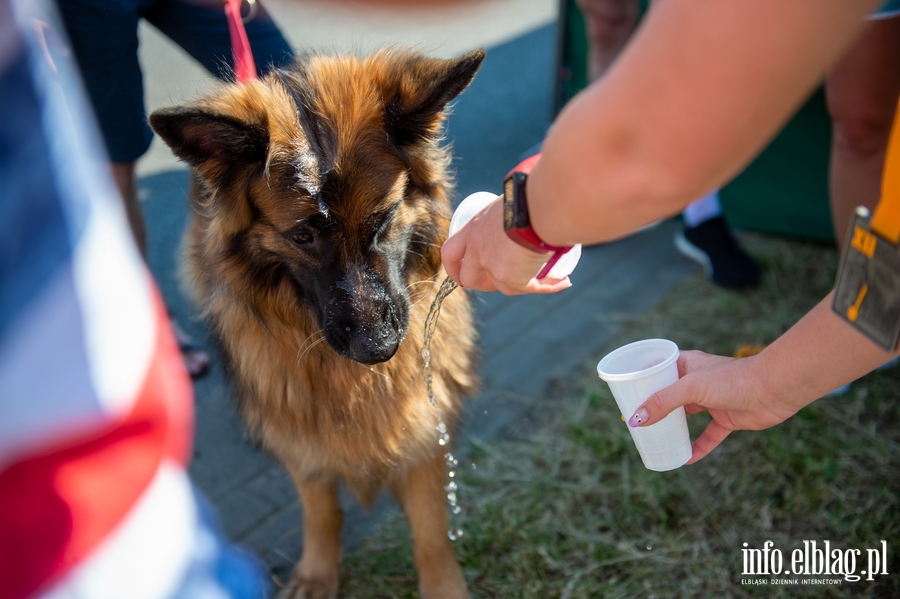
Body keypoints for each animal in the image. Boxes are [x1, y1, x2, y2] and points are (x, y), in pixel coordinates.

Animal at [149, 49, 486, 596]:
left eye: (384, 218)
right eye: (302, 236)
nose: (378, 349)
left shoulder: (421, 417)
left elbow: (431, 527)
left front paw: (443, 586)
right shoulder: (301, 426)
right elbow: (320, 511)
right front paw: (316, 575)